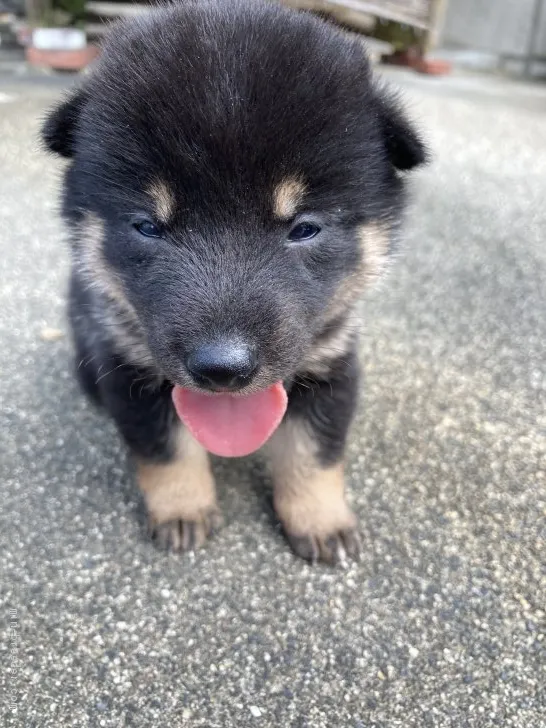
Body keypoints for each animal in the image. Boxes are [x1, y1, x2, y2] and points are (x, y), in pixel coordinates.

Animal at [42, 0, 424, 564]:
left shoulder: (331, 366)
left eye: (304, 228)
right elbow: (165, 448)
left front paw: (321, 519)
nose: (222, 369)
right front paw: (182, 508)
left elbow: (314, 451)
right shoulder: (130, 370)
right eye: (147, 226)